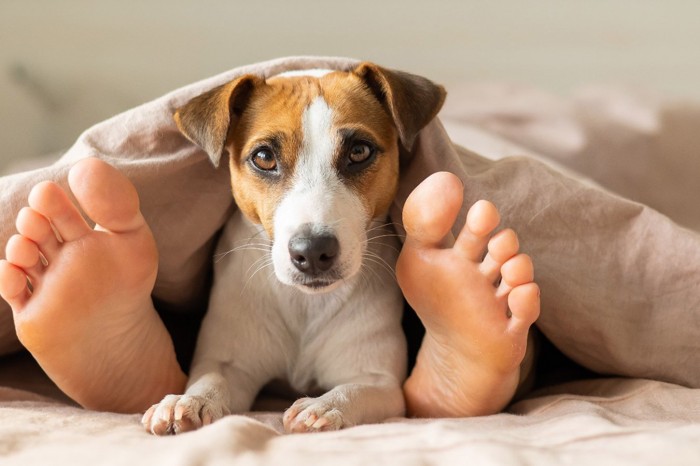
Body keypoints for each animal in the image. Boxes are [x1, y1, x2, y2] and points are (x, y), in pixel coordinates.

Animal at [142, 61, 446, 434]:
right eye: (263, 157)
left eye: (359, 151)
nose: (313, 251)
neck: (305, 305)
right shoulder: (231, 363)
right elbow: (211, 380)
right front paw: (187, 401)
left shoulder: (379, 381)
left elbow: (354, 390)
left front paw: (324, 406)